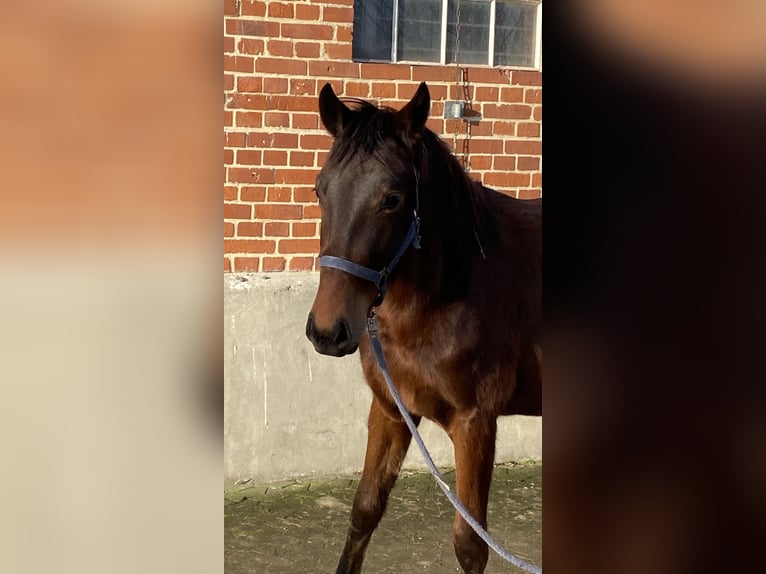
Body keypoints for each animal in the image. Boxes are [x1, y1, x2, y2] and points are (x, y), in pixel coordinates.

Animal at [305, 81, 542, 574]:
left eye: (392, 199)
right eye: (320, 190)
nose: (327, 331)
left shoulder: (475, 424)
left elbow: (470, 545)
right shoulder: (391, 410)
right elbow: (364, 511)